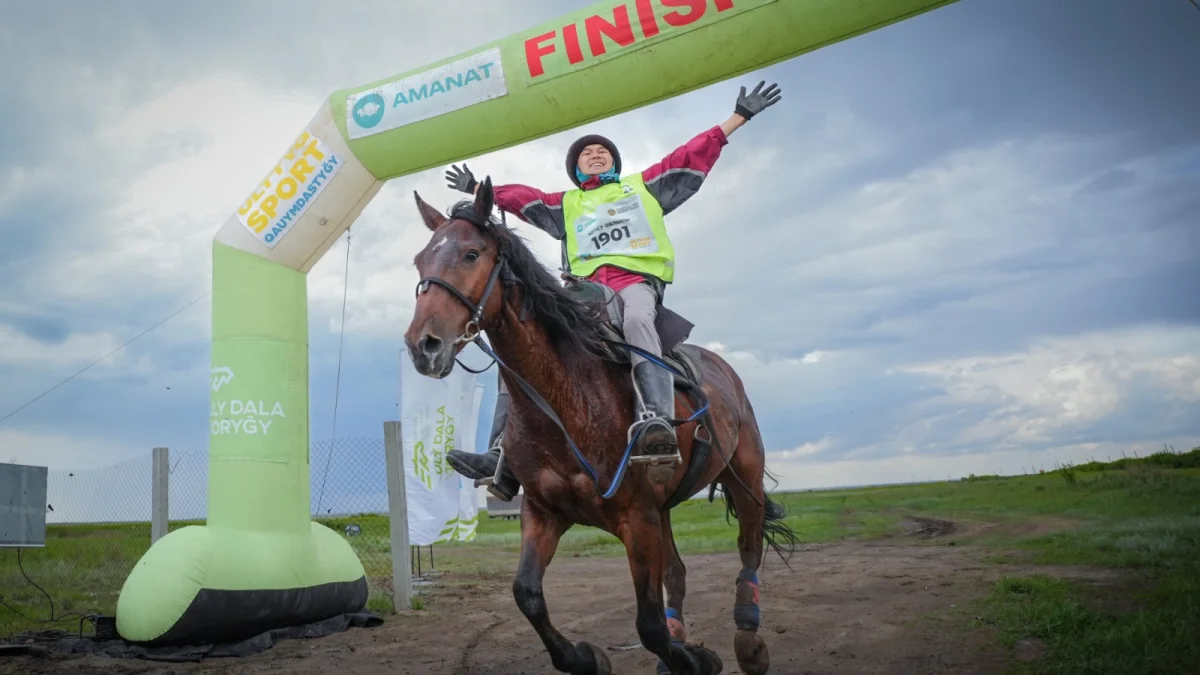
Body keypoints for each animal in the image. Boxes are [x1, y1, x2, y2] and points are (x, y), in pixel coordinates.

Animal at [400, 174, 796, 672]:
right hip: (665, 509)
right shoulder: (544, 513)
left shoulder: (636, 518)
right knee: (678, 573)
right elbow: (527, 594)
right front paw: (587, 657)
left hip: (743, 479)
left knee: (748, 549)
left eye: (471, 254)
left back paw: (748, 638)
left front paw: (695, 658)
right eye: (421, 260)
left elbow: (647, 624)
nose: (424, 345)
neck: (568, 401)